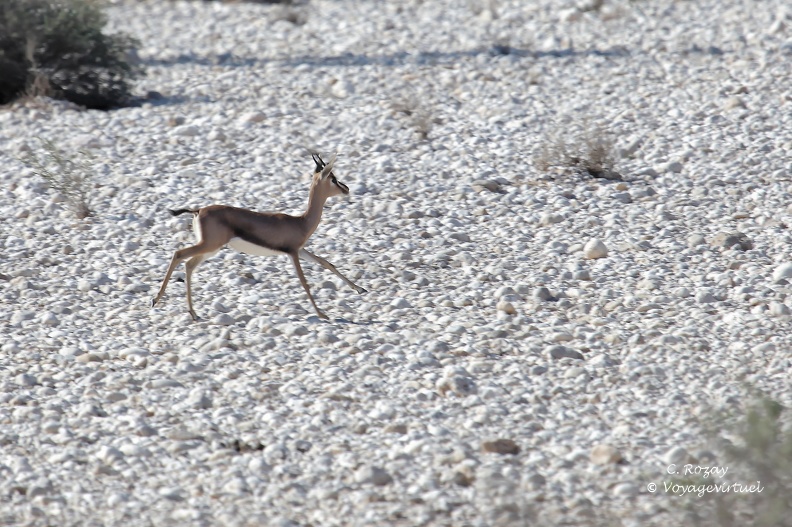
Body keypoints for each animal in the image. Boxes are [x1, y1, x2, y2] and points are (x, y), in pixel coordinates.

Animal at [150, 154, 366, 321]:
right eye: (333, 178)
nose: (346, 189)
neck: (301, 222)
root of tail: (198, 210)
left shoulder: (301, 250)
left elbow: (327, 263)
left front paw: (360, 289)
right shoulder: (293, 253)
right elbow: (304, 281)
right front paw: (322, 314)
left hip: (211, 248)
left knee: (189, 264)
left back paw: (192, 313)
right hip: (210, 245)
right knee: (179, 254)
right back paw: (157, 300)